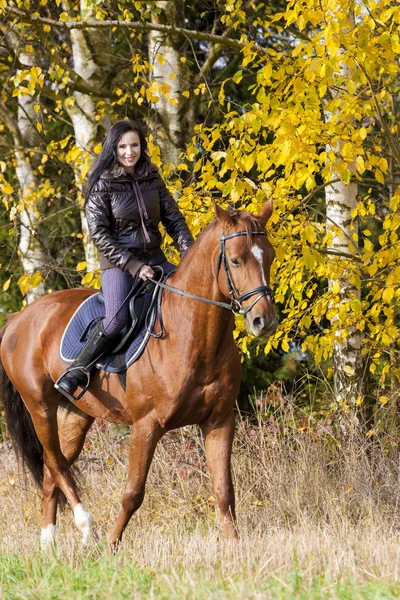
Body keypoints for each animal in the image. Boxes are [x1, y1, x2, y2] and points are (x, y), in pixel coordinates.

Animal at [0, 203, 276, 548]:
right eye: (236, 260)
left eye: (271, 256)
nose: (264, 321)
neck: (193, 335)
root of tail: (18, 318)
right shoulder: (146, 424)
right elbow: (132, 493)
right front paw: (111, 546)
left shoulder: (220, 421)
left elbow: (224, 490)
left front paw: (233, 548)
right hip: (39, 406)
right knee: (55, 462)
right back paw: (86, 527)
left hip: (75, 414)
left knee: (53, 472)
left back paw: (48, 545)